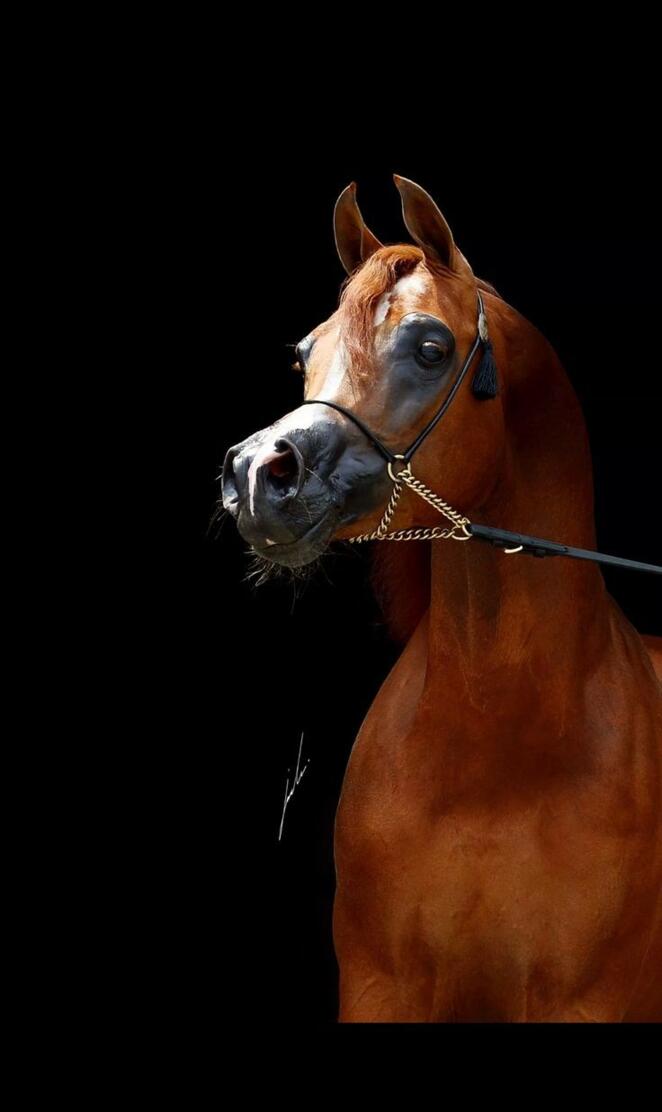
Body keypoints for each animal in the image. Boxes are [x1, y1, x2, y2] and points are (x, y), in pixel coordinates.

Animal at [222, 175, 662, 1022]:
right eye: (304, 351)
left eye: (431, 349)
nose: (260, 474)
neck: (495, 752)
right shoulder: (376, 988)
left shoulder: (587, 1001)